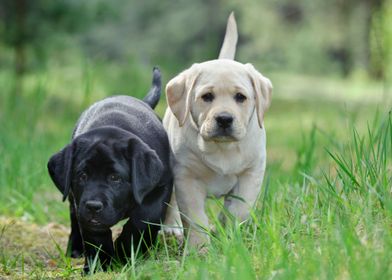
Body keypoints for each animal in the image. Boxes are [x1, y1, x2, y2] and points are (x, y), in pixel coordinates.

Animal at [47, 68, 173, 274]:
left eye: (115, 178)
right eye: (82, 176)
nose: (93, 206)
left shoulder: (161, 187)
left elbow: (144, 219)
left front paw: (125, 251)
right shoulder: (83, 205)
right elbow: (94, 235)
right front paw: (99, 265)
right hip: (74, 199)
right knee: (74, 216)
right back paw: (75, 249)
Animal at [162, 13, 272, 247]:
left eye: (240, 97)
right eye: (207, 96)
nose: (224, 119)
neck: (222, 149)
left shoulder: (251, 174)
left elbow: (238, 210)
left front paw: (230, 237)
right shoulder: (186, 177)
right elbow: (195, 217)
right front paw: (199, 247)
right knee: (171, 203)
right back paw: (171, 228)